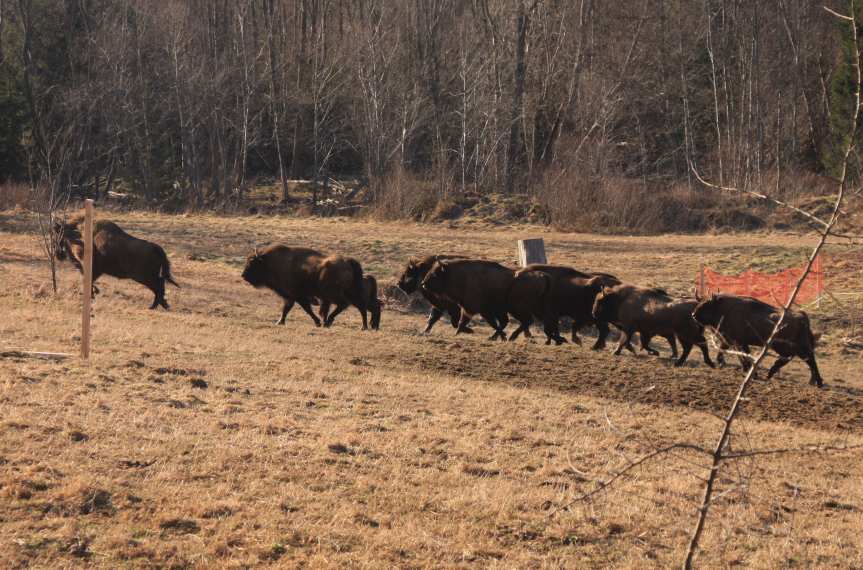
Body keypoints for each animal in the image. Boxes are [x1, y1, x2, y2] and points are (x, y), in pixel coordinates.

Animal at [52, 217, 181, 308]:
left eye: (57, 235)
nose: (58, 254)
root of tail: (156, 248)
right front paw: (94, 293)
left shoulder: (91, 268)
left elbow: (88, 280)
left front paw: (92, 294)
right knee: (160, 284)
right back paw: (162, 305)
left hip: (144, 277)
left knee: (159, 285)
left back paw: (155, 306)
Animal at [240, 243, 368, 328]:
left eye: (252, 262)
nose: (243, 276)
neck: (269, 261)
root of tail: (348, 262)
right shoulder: (290, 297)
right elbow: (286, 309)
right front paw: (280, 322)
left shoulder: (297, 295)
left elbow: (306, 308)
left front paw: (317, 322)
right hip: (351, 293)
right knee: (361, 306)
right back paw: (363, 327)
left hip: (334, 294)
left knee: (344, 304)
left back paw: (328, 322)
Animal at [688, 292, 824, 386]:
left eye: (706, 304)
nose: (693, 315)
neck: (724, 308)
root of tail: (802, 316)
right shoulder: (737, 342)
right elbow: (739, 354)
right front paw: (747, 370)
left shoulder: (737, 341)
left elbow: (741, 355)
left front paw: (751, 372)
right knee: (805, 359)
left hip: (791, 347)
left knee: (806, 360)